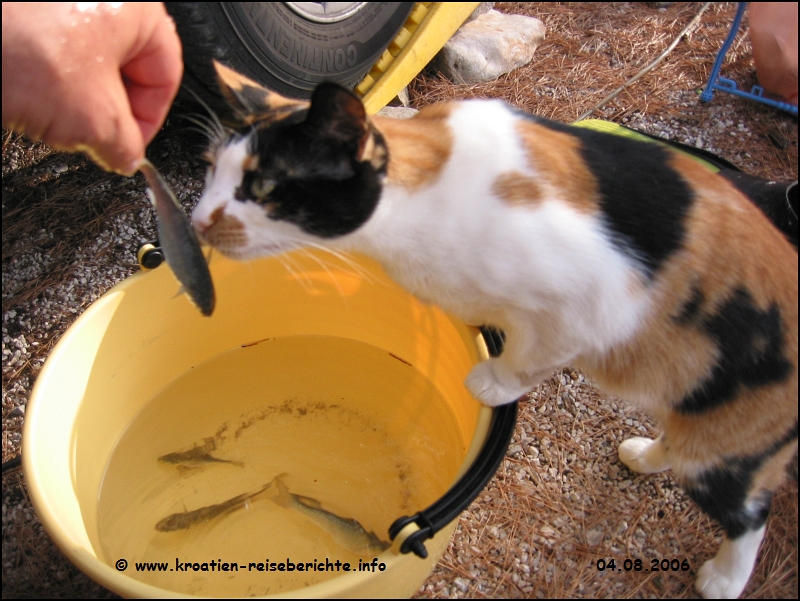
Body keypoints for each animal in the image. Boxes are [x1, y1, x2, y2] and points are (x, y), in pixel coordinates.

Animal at [191, 63, 796, 596]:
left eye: (264, 185)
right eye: (209, 168)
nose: (197, 221)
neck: (417, 203)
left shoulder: (594, 300)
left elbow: (532, 354)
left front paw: (492, 381)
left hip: (732, 428)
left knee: (750, 507)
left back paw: (724, 578)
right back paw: (647, 455)